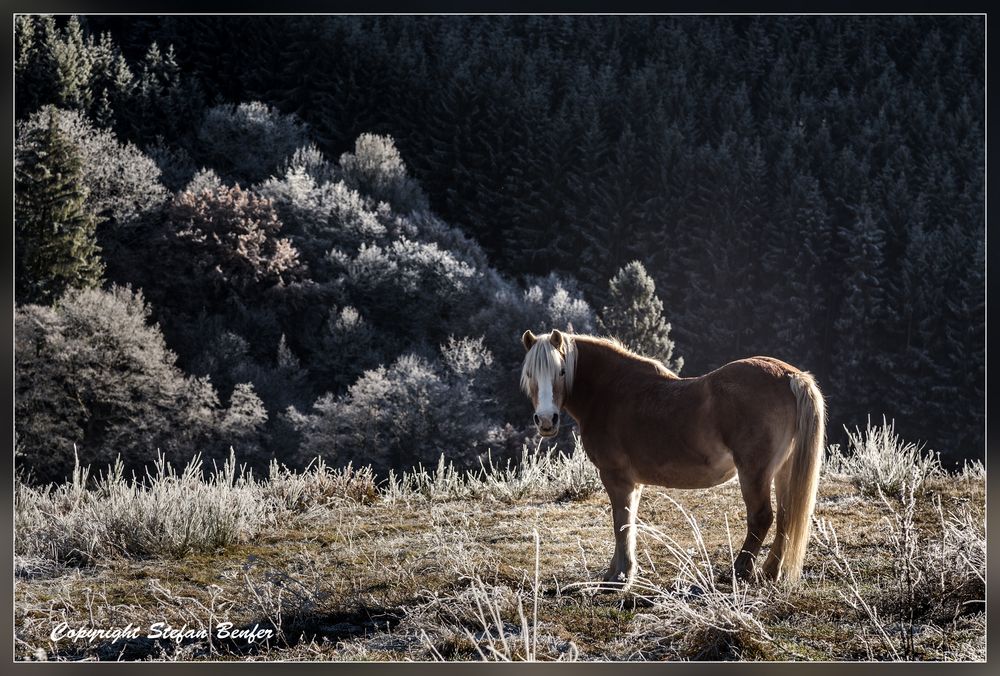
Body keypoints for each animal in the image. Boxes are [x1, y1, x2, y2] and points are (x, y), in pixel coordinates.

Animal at [520, 328, 824, 588]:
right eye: (530, 374)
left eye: (561, 371)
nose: (546, 421)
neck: (609, 391)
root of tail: (791, 377)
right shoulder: (633, 483)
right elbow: (628, 522)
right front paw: (617, 572)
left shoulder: (616, 477)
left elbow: (621, 523)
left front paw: (619, 577)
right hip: (783, 470)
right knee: (786, 515)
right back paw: (769, 572)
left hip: (754, 472)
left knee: (761, 518)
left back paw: (739, 572)